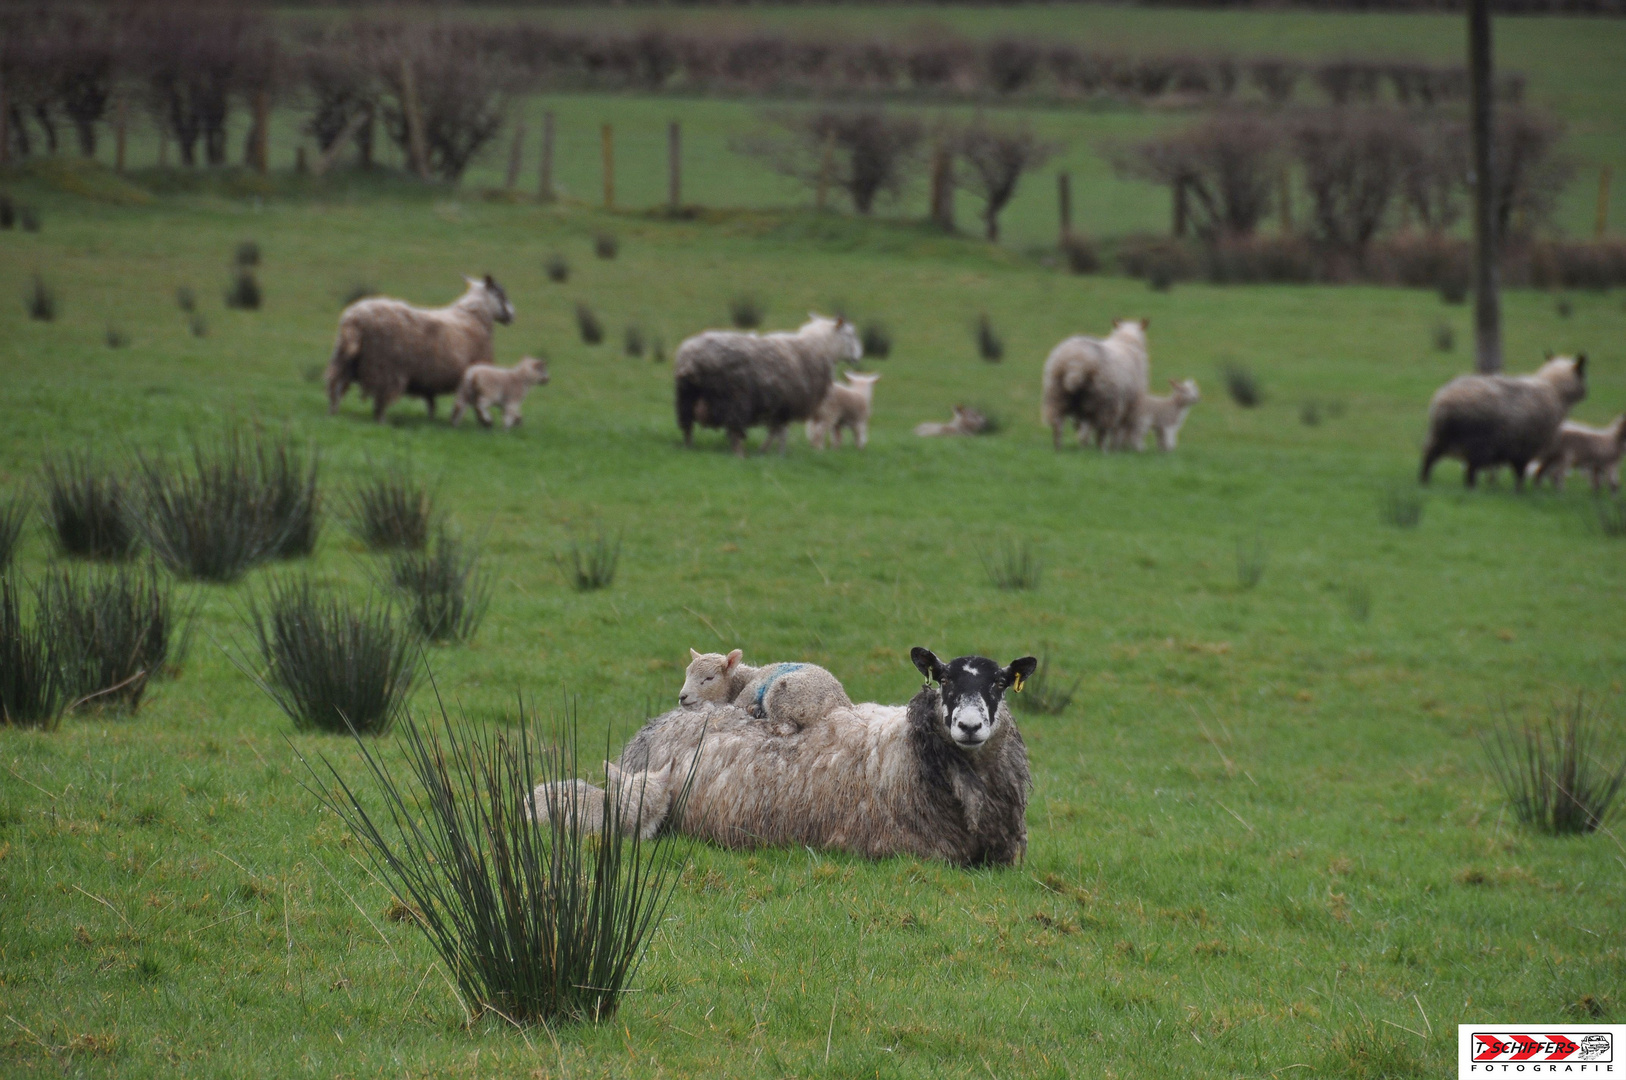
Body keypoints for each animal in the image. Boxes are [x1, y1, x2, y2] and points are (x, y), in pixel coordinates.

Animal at [325, 274, 513, 422]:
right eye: (501, 294)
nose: (512, 315)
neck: (474, 315)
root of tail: (353, 320)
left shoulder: (430, 380)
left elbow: (432, 403)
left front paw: (431, 419)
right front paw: (482, 420)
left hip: (344, 360)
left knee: (336, 387)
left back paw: (333, 413)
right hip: (385, 368)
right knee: (381, 399)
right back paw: (382, 421)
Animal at [673, 317, 865, 458]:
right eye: (850, 334)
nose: (858, 356)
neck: (816, 349)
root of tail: (691, 358)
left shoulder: (779, 405)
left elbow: (776, 431)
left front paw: (766, 451)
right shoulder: (787, 404)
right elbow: (780, 432)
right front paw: (778, 454)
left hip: (686, 395)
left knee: (687, 426)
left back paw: (688, 448)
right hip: (735, 399)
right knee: (735, 431)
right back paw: (739, 455)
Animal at [1040, 317, 1157, 452]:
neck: (1127, 341)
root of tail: (1076, 363)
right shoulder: (1131, 405)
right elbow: (1121, 429)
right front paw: (1119, 446)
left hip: (1056, 396)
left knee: (1058, 425)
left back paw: (1060, 447)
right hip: (1105, 403)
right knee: (1102, 430)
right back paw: (1103, 450)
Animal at [1424, 354, 1586, 487]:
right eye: (1583, 372)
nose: (1586, 393)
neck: (1554, 391)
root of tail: (1445, 403)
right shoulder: (1525, 447)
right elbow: (1520, 472)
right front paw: (1519, 492)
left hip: (1439, 437)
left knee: (1428, 458)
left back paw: (1424, 481)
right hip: (1476, 443)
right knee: (1470, 470)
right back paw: (1471, 489)